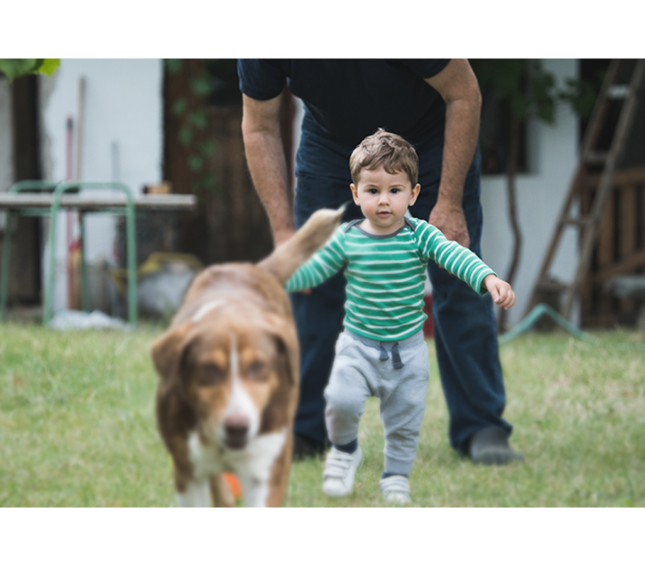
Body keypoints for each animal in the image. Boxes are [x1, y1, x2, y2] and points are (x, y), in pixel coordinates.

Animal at [151, 209, 342, 510]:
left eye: (259, 367)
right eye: (208, 370)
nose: (238, 426)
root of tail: (256, 268)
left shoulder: (266, 463)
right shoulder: (187, 467)